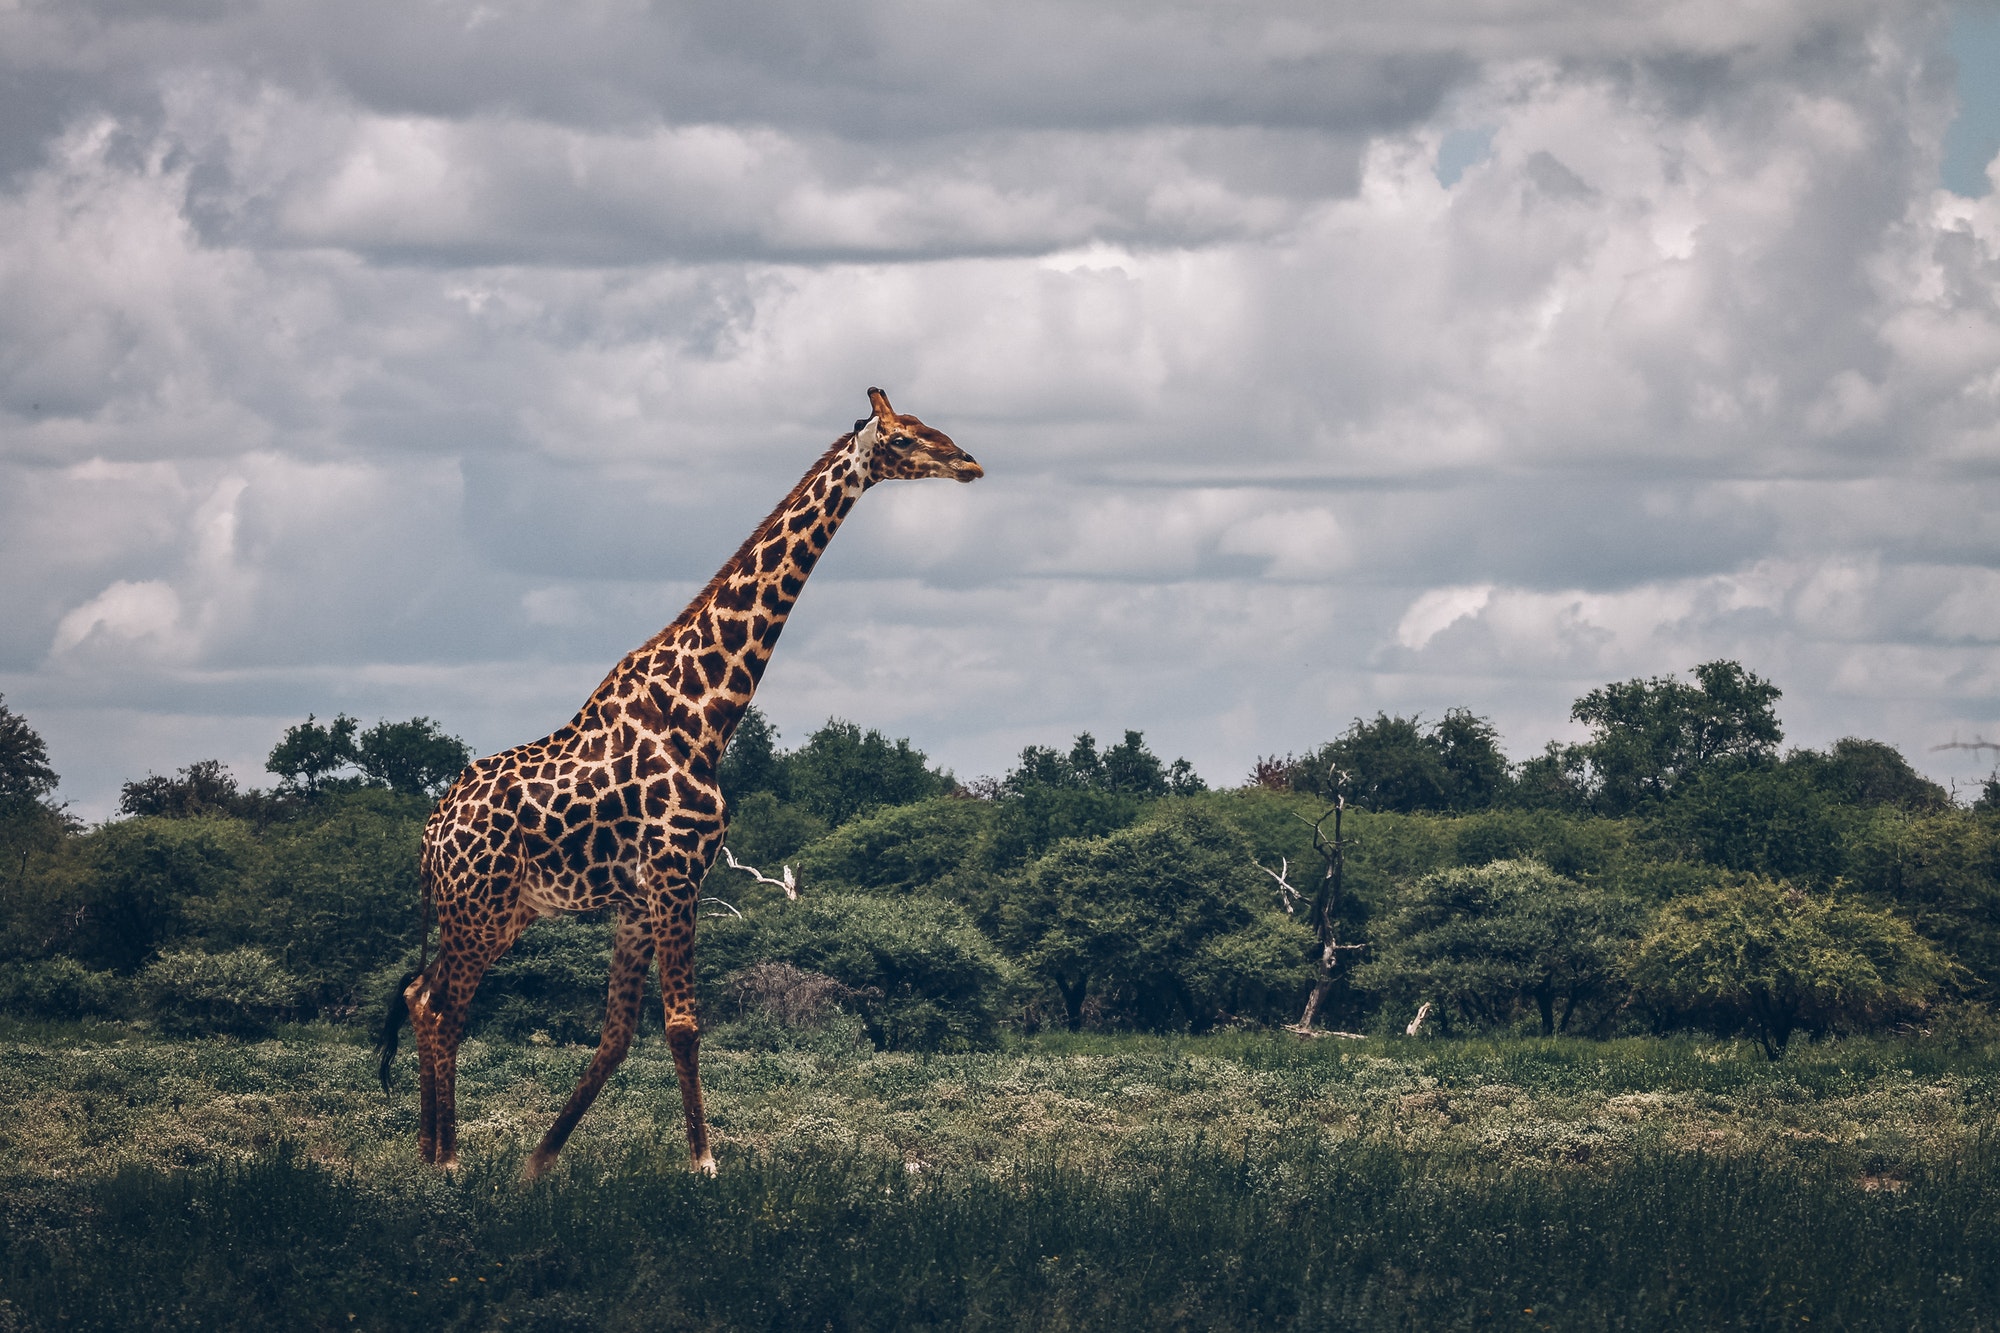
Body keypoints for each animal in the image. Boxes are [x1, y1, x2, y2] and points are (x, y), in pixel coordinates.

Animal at [376, 386, 976, 1176]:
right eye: (905, 438)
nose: (968, 462)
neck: (705, 711)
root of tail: (432, 831)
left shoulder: (638, 900)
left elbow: (616, 1034)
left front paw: (539, 1163)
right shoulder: (676, 875)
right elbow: (684, 1024)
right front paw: (705, 1165)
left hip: (496, 911)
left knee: (420, 995)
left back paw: (427, 1150)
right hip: (479, 908)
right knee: (444, 1006)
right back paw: (446, 1160)